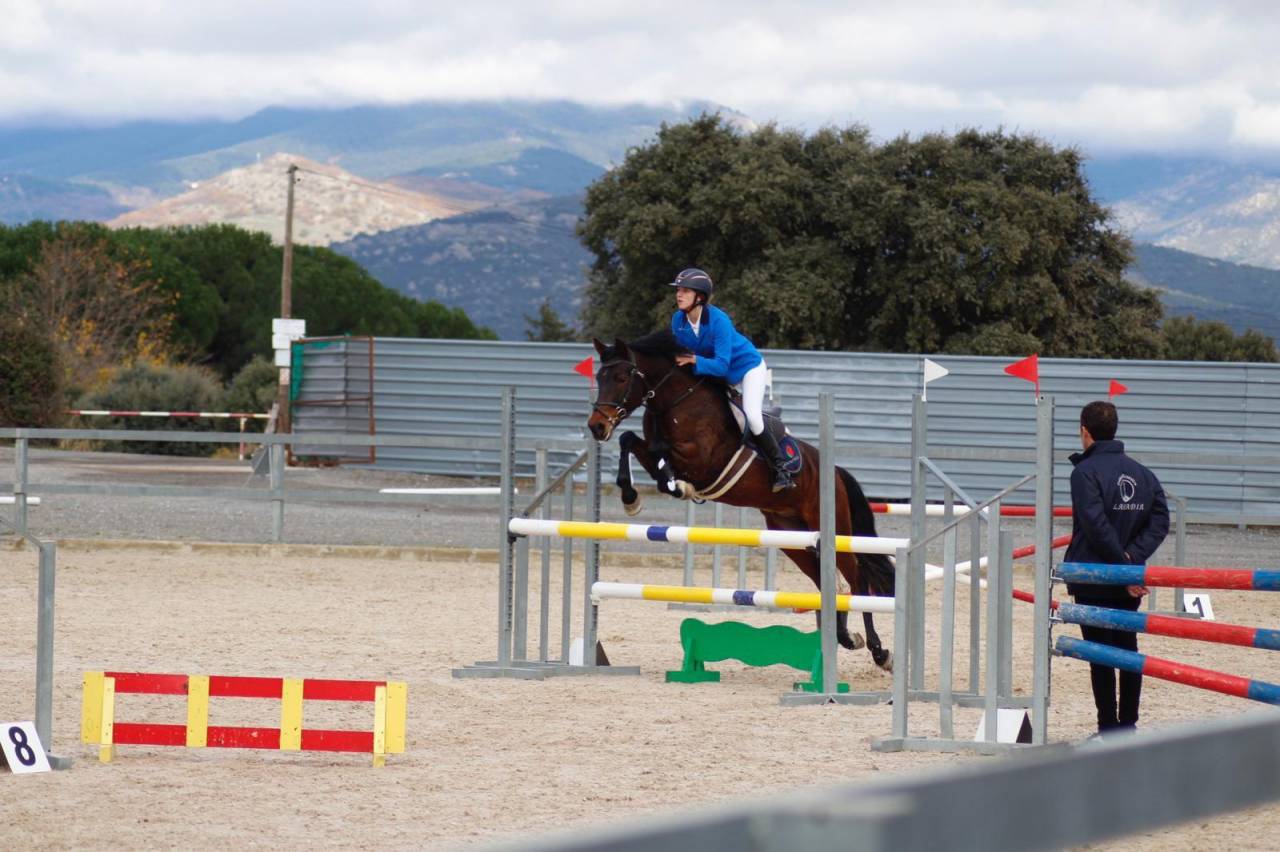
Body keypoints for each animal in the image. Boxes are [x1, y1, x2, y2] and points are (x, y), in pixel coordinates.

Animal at [586, 331, 894, 671]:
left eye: (621, 377)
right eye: (599, 377)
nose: (596, 426)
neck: (674, 402)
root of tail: (835, 471)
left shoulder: (704, 460)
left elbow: (659, 449)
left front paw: (675, 486)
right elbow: (630, 440)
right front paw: (632, 497)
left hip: (833, 528)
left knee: (858, 581)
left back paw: (879, 652)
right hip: (792, 538)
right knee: (828, 584)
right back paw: (846, 638)